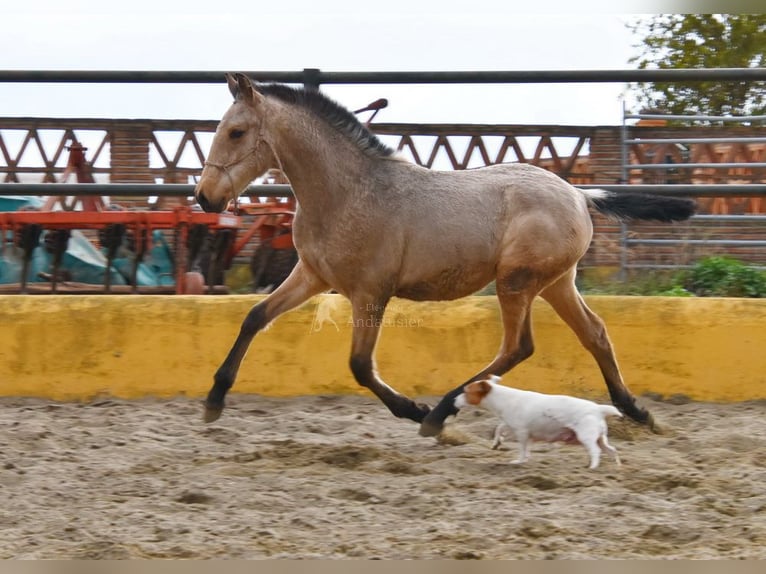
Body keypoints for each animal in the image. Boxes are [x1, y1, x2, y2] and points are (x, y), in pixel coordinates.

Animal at [195, 74, 700, 438]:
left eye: (237, 132)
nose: (204, 197)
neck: (348, 191)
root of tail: (579, 194)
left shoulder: (370, 291)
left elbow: (360, 365)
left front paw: (415, 411)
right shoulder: (313, 275)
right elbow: (255, 317)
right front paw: (214, 400)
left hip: (516, 281)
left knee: (518, 346)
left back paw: (440, 412)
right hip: (557, 282)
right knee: (593, 334)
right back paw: (637, 411)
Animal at [456, 376, 624, 470]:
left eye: (466, 391)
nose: (454, 399)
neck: (503, 399)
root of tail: (598, 409)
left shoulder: (522, 432)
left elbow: (522, 449)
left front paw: (519, 461)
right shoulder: (511, 425)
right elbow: (499, 428)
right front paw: (496, 443)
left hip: (586, 437)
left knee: (596, 451)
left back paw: (592, 467)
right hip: (600, 438)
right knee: (612, 450)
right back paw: (616, 467)